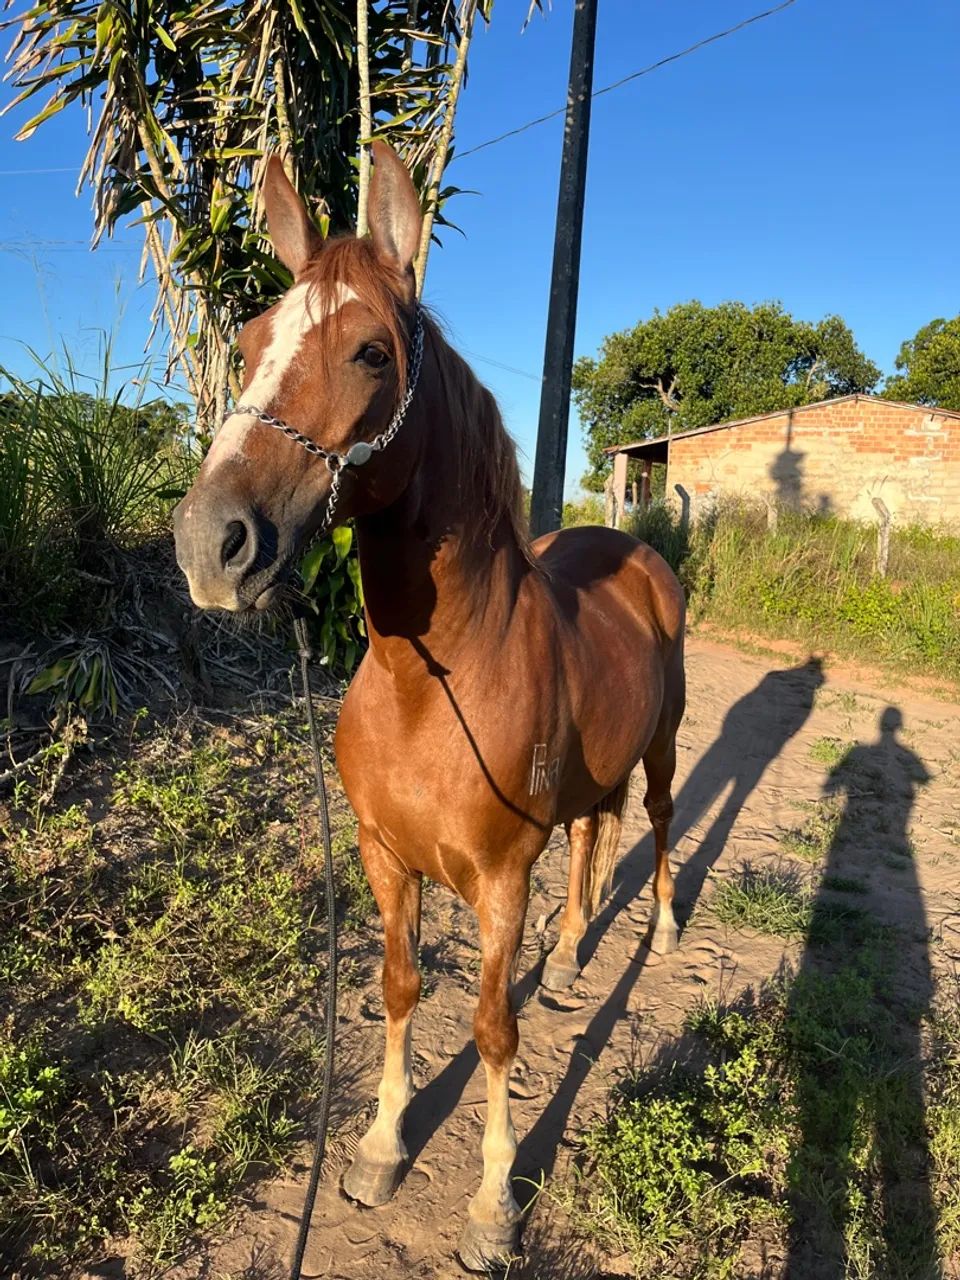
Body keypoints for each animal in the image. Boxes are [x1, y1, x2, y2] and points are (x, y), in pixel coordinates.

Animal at [172, 141, 686, 1271]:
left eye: (371, 352)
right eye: (250, 343)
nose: (210, 544)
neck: (432, 688)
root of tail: (635, 553)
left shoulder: (500, 879)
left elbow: (494, 1027)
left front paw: (494, 1205)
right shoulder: (384, 855)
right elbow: (400, 987)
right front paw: (377, 1148)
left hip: (665, 750)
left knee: (663, 824)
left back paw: (665, 931)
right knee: (595, 836)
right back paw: (573, 955)